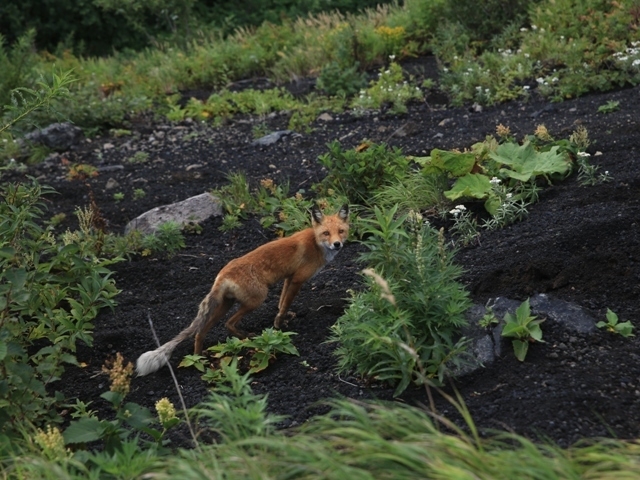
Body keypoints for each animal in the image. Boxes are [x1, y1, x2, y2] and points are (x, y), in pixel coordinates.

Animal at [134, 202, 350, 376]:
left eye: (341, 231)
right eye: (326, 233)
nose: (337, 244)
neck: (316, 242)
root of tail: (221, 276)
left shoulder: (289, 278)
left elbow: (281, 302)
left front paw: (283, 319)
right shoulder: (297, 279)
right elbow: (284, 306)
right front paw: (278, 325)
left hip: (225, 305)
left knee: (200, 332)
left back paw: (199, 359)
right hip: (256, 300)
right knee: (229, 324)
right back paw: (246, 338)